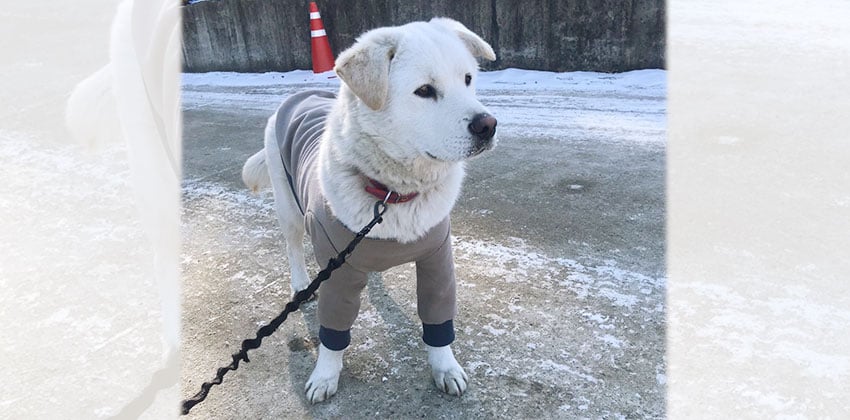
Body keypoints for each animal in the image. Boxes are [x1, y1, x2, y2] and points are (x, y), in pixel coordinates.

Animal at [240, 17, 496, 404]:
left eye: (468, 79)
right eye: (425, 91)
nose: (488, 125)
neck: (391, 194)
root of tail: (297, 96)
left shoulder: (437, 258)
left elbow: (438, 319)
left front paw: (445, 368)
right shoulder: (336, 274)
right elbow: (332, 334)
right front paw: (325, 375)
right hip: (289, 208)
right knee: (293, 247)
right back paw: (300, 284)